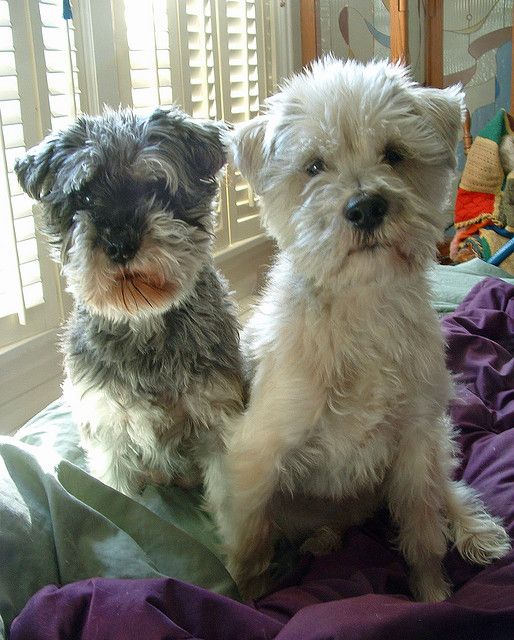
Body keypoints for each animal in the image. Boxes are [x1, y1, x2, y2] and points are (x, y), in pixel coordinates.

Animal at [16, 106, 244, 496]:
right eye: (84, 197)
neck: (143, 321)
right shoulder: (108, 435)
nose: (120, 244)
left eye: (156, 187)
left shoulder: (218, 421)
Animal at [213, 57, 508, 604]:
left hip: (435, 438)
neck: (361, 304)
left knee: (447, 489)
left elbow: (422, 529)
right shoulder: (255, 455)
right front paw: (249, 596)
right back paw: (322, 540)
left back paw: (474, 530)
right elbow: (249, 543)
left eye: (394, 154)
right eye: (313, 166)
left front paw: (433, 596)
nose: (366, 206)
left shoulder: (414, 438)